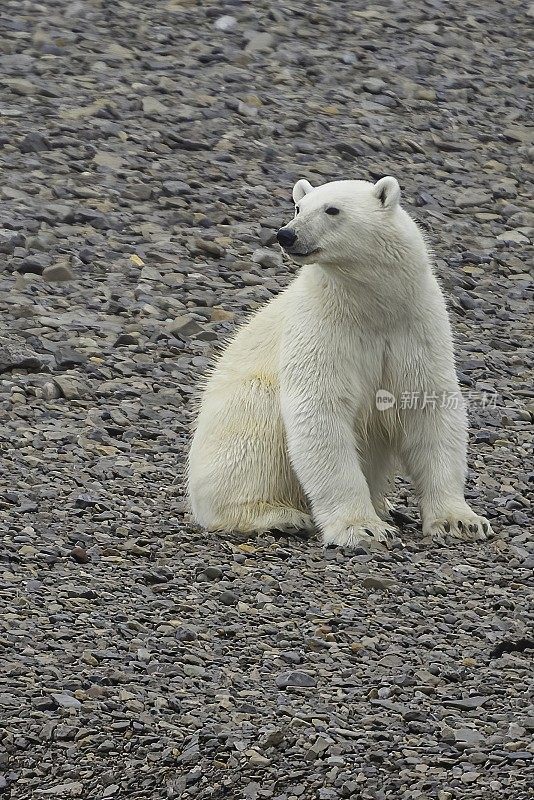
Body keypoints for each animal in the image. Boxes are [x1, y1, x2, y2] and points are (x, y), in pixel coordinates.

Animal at [188, 177, 494, 548]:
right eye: (298, 207)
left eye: (332, 209)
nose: (286, 234)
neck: (372, 304)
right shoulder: (322, 327)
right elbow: (321, 410)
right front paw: (363, 528)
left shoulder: (418, 326)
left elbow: (429, 407)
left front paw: (461, 521)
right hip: (237, 415)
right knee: (252, 431)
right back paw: (281, 516)